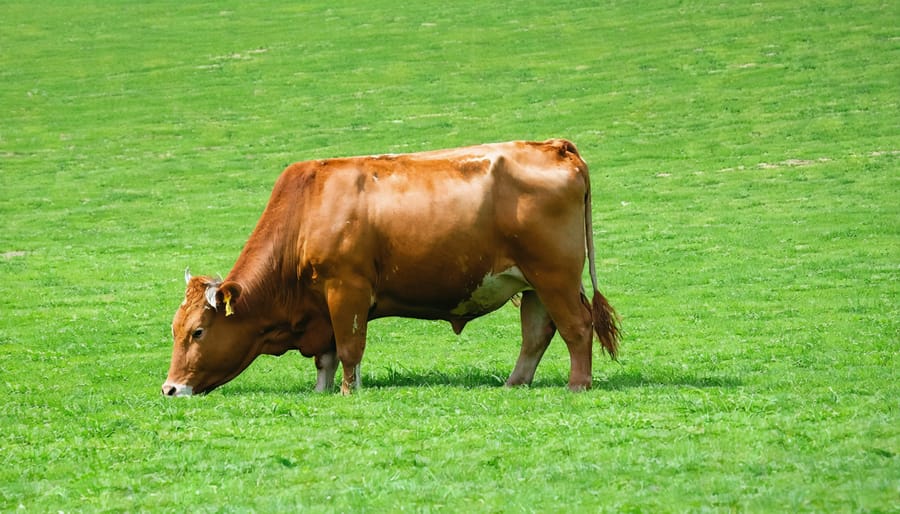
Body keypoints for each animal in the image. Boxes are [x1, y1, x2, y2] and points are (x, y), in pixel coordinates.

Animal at [162, 138, 620, 394]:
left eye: (198, 331)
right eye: (175, 329)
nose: (170, 389)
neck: (307, 209)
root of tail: (554, 146)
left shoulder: (346, 290)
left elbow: (349, 349)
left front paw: (349, 392)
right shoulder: (323, 303)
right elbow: (326, 356)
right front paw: (321, 391)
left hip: (555, 276)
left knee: (577, 327)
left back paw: (578, 385)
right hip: (532, 283)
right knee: (537, 333)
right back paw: (514, 384)